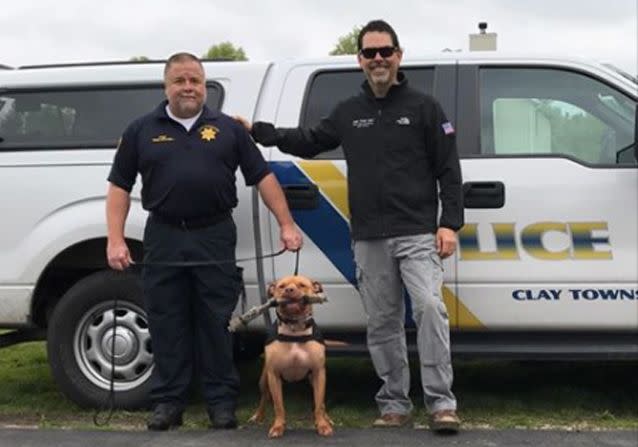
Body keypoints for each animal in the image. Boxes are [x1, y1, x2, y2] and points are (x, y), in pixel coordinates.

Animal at [248, 274, 332, 440]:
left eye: (302, 285)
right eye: (281, 286)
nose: (289, 290)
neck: (295, 330)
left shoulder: (319, 373)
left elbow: (319, 404)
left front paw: (322, 424)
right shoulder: (273, 375)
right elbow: (278, 405)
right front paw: (278, 427)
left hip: (312, 379)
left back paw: (327, 418)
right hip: (264, 380)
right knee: (264, 397)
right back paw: (258, 416)